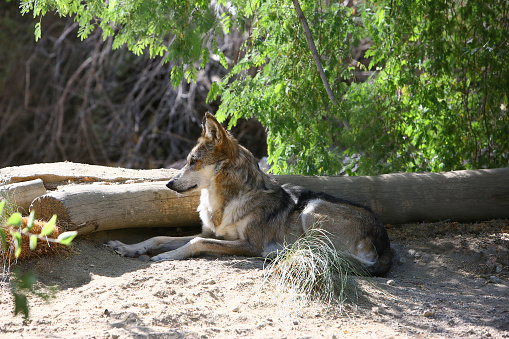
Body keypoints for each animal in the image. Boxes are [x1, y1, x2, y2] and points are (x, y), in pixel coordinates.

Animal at [106, 113, 392, 278]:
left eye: (193, 162)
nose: (168, 183)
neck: (223, 204)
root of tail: (385, 240)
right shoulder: (216, 234)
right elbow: (158, 237)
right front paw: (128, 247)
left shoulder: (248, 244)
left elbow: (196, 242)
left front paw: (167, 257)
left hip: (312, 209)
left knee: (323, 253)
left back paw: (278, 253)